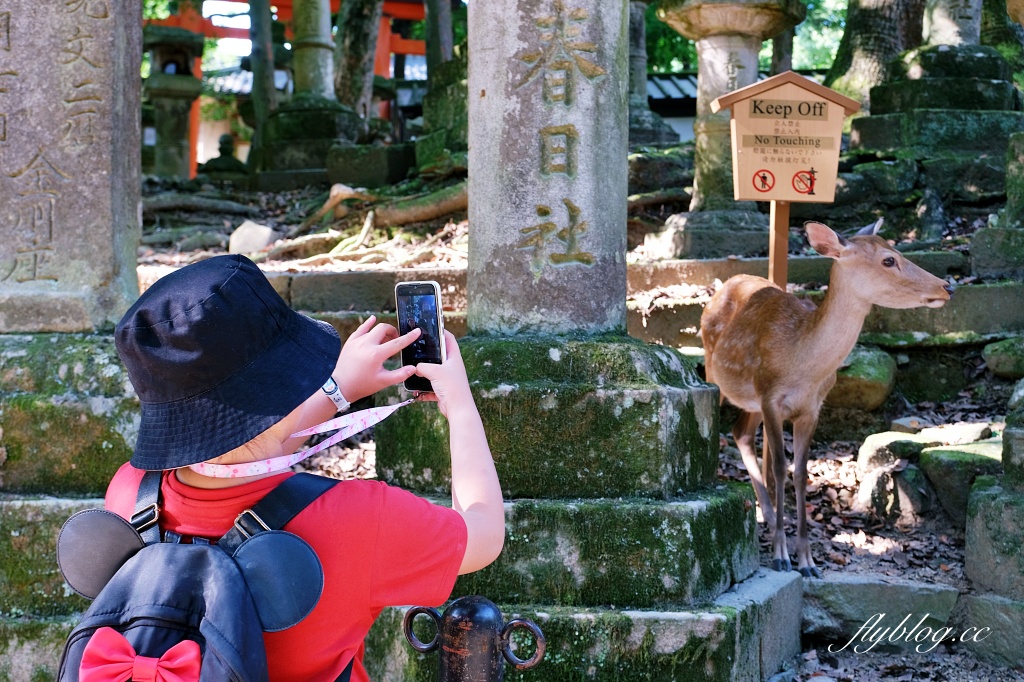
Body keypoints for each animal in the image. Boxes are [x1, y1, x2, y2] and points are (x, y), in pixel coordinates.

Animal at [700, 219, 954, 573]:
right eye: (889, 260)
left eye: (895, 250)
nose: (947, 286)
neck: (802, 364)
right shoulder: (770, 397)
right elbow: (780, 467)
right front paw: (781, 556)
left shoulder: (812, 408)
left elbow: (801, 471)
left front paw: (806, 560)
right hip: (720, 378)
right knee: (736, 433)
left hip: (752, 401)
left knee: (741, 434)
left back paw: (769, 515)